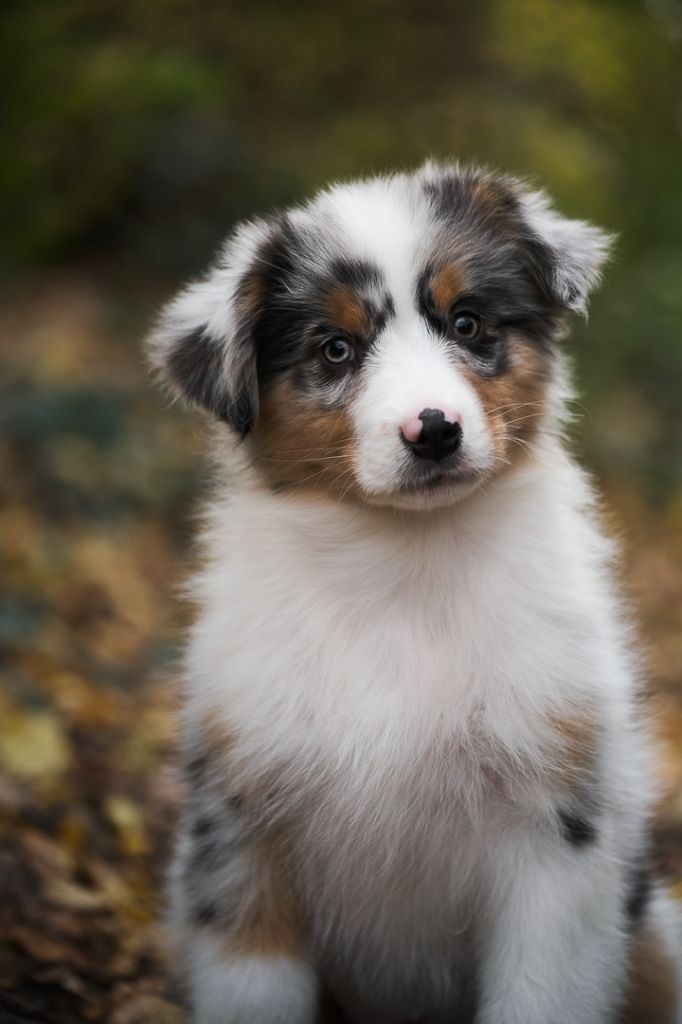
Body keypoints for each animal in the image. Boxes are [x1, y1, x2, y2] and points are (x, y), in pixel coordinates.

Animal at [146, 161, 675, 1024]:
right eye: (336, 349)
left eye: (467, 322)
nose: (434, 431)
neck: (402, 565)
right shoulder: (243, 830)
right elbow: (257, 988)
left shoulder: (556, 838)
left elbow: (536, 991)